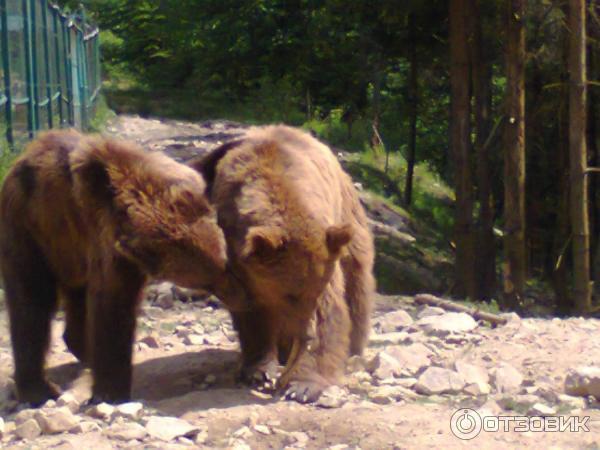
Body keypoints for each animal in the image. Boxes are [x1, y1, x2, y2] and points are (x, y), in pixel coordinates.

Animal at [0, 128, 246, 406]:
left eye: (225, 261)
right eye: (206, 280)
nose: (241, 296)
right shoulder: (107, 246)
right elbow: (113, 307)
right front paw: (110, 392)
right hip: (30, 231)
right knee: (30, 302)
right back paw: (40, 389)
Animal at [191, 125, 376, 402]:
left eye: (311, 292)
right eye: (290, 294)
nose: (306, 334)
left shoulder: (323, 258)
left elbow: (328, 310)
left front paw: (303, 385)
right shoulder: (241, 267)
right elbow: (251, 313)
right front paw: (258, 370)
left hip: (348, 220)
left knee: (357, 282)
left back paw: (353, 350)